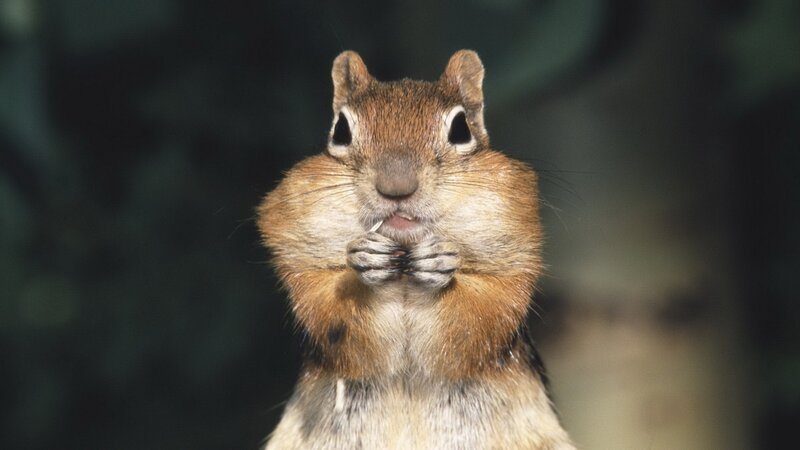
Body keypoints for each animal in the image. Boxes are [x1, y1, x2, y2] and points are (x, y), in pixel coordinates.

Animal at [257, 50, 575, 450]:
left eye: (461, 129)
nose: (396, 187)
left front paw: (440, 264)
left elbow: (482, 317)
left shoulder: (513, 263)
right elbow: (330, 314)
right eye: (341, 130)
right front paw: (365, 261)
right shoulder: (302, 264)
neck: (403, 274)